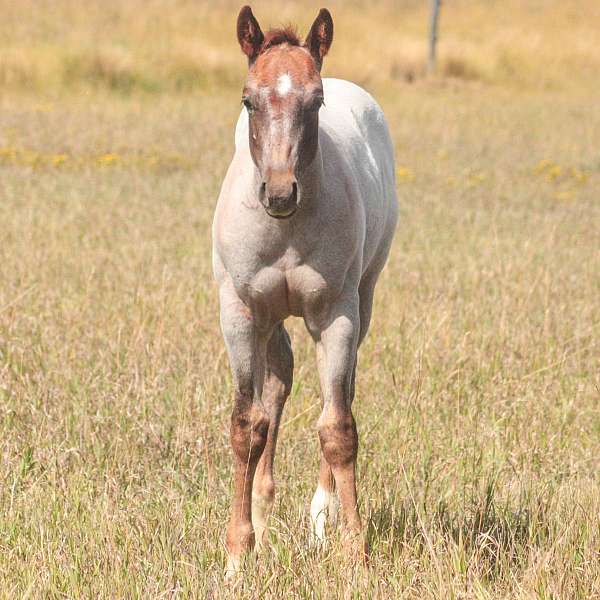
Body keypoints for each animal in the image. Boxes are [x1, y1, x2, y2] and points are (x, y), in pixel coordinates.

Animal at [211, 5, 398, 576]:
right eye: (248, 99)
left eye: (315, 101)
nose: (278, 193)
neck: (287, 230)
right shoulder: (240, 313)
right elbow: (246, 424)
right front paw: (238, 554)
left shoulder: (336, 315)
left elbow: (338, 429)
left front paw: (354, 550)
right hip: (271, 318)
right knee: (277, 384)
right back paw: (264, 512)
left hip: (362, 302)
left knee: (336, 393)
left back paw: (320, 520)